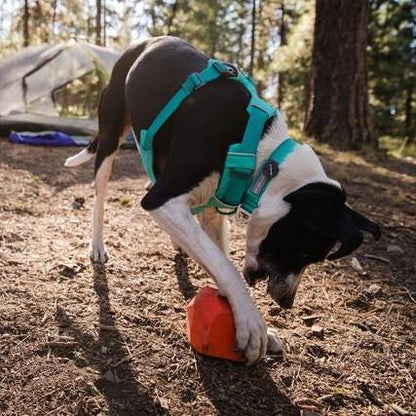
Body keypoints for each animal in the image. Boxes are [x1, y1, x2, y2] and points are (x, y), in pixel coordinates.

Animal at [65, 38, 380, 364]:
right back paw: (98, 245)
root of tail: (141, 44)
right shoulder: (162, 200)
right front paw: (253, 324)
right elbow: (225, 267)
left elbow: (218, 260)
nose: (287, 302)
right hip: (111, 137)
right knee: (100, 195)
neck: (262, 153)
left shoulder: (212, 211)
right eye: (305, 253)